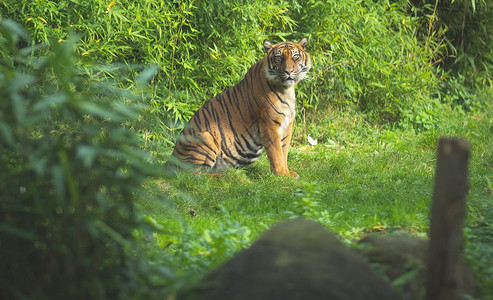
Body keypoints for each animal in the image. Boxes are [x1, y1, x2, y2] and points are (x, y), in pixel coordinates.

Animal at [167, 38, 310, 177]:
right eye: (279, 57)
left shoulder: (287, 125)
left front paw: (288, 173)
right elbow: (277, 153)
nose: (289, 72)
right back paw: (224, 175)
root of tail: (170, 159)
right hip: (206, 137)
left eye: (295, 57)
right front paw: (282, 175)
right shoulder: (269, 125)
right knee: (193, 175)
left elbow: (284, 152)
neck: (286, 89)